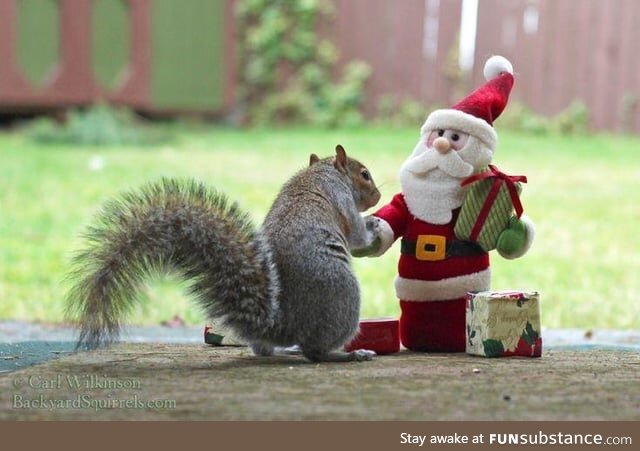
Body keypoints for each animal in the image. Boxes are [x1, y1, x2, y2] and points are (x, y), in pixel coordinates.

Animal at [65, 145, 382, 364]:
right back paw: (350, 354)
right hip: (344, 295)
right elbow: (356, 236)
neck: (321, 173)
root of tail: (280, 323)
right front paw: (373, 226)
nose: (379, 196)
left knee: (267, 350)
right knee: (315, 352)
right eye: (364, 174)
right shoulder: (342, 200)